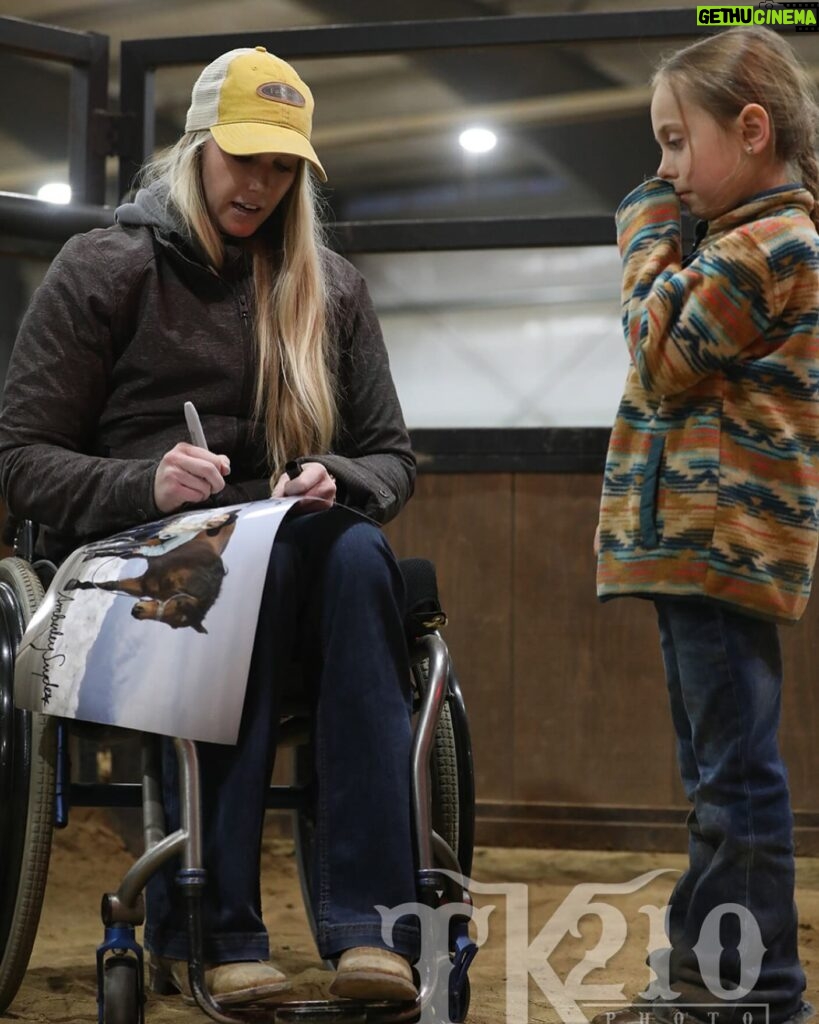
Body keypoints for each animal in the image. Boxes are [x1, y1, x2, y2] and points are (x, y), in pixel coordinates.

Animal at [67, 512, 236, 630]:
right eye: (179, 604)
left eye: (174, 625)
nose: (137, 612)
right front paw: (74, 583)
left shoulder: (142, 585)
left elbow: (111, 585)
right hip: (149, 544)